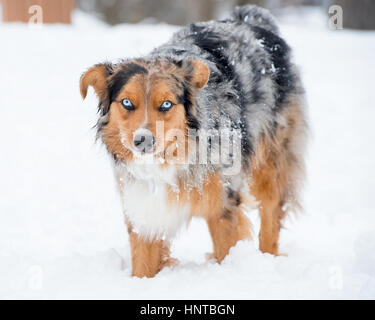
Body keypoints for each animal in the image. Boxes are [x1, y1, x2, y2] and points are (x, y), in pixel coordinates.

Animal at [80, 5, 308, 278]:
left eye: (166, 104)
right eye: (126, 102)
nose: (143, 141)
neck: (169, 161)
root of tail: (249, 17)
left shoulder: (223, 205)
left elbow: (227, 249)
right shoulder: (143, 207)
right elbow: (143, 263)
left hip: (272, 161)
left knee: (271, 214)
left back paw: (268, 259)